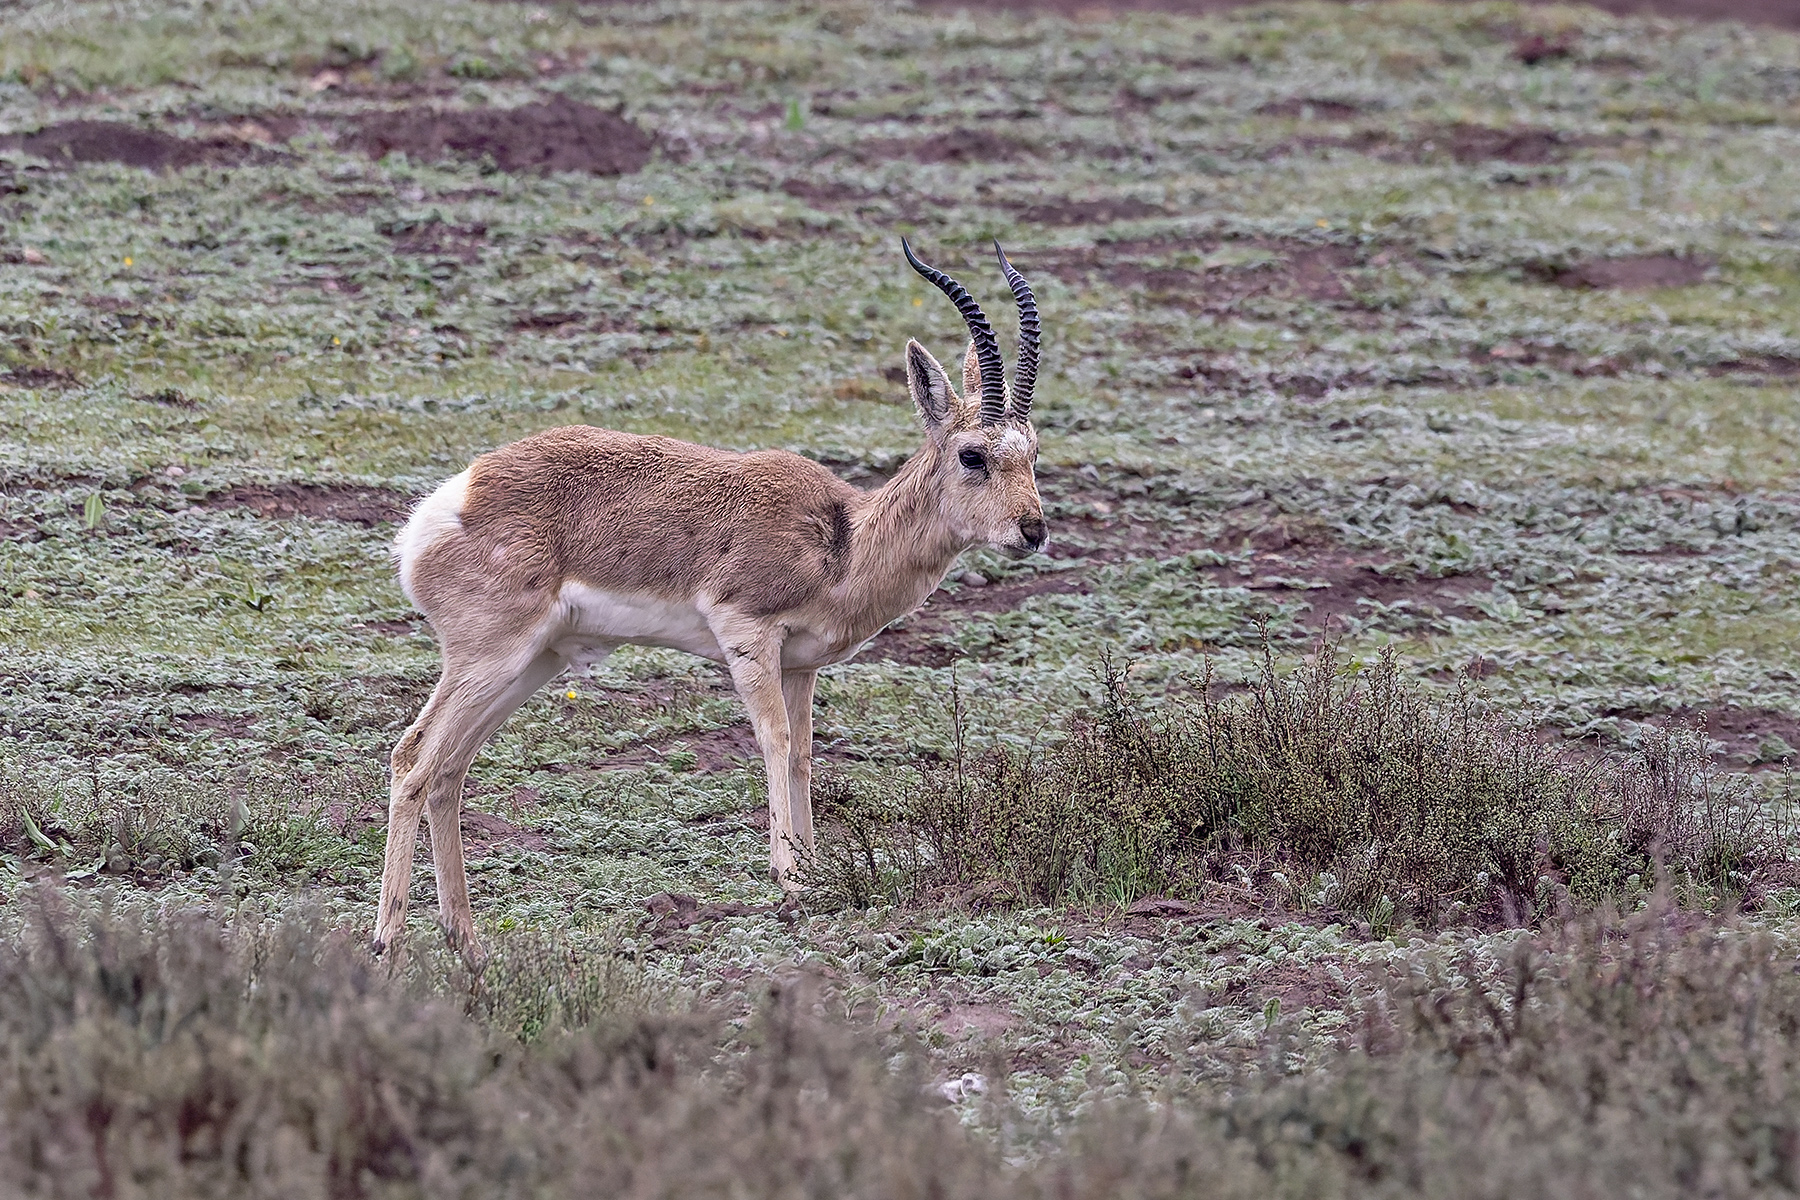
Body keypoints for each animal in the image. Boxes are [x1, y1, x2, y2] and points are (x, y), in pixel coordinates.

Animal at [373, 240, 1047, 958]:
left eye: (1032, 451)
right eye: (973, 455)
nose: (1033, 530)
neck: (843, 539)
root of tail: (449, 504)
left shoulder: (801, 665)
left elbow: (804, 752)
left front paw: (814, 866)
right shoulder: (747, 635)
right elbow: (774, 737)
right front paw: (789, 876)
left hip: (534, 664)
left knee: (448, 773)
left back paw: (467, 943)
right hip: (488, 660)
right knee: (413, 760)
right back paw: (388, 941)